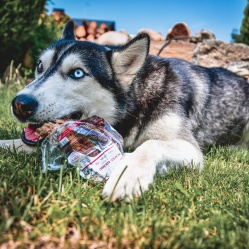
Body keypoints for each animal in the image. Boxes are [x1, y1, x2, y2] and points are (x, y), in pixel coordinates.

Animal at [2, 20, 249, 201]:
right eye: (40, 66)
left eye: (77, 73)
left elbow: (150, 145)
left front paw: (126, 174)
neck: (138, 102)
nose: (19, 104)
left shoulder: (191, 149)